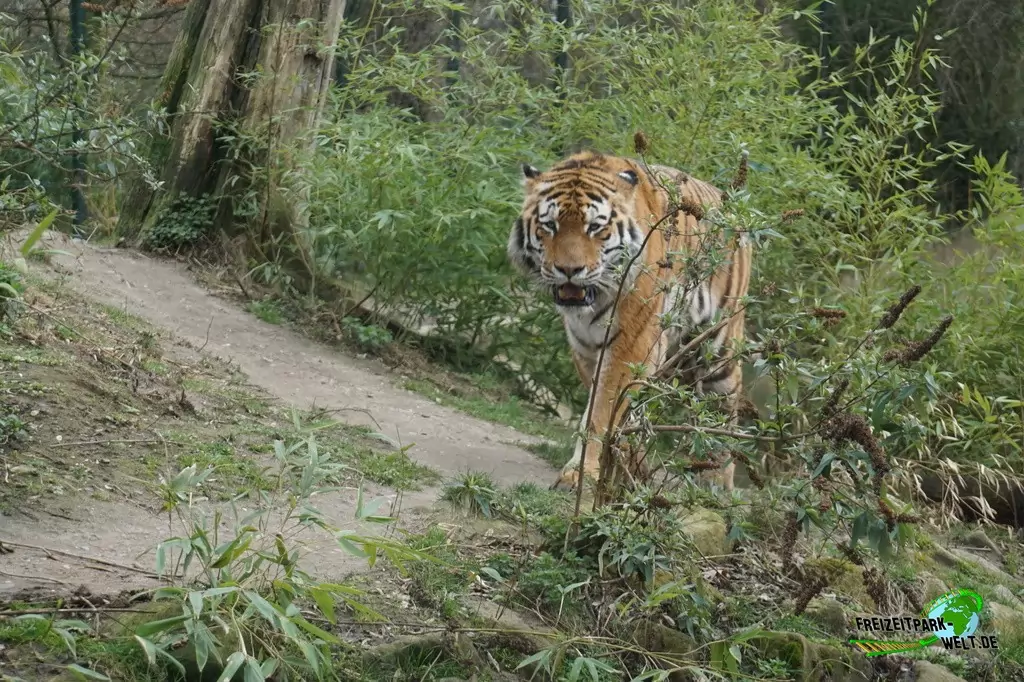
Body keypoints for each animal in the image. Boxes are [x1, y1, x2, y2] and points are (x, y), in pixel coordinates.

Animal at [506, 151, 752, 492]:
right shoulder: (584, 347)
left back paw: (715, 481)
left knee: (723, 407)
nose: (569, 270)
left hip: (718, 351)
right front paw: (618, 460)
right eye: (550, 226)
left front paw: (581, 474)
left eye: (594, 227)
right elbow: (606, 406)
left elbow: (602, 410)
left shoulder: (631, 342)